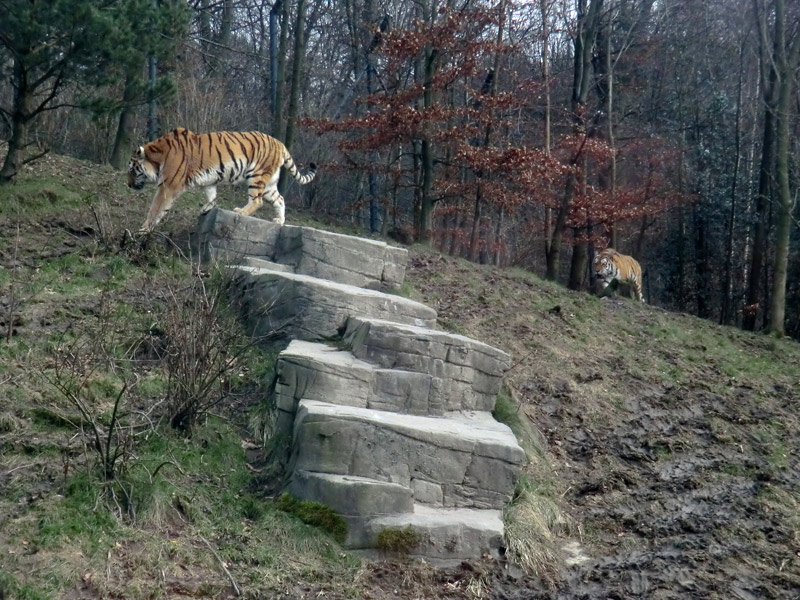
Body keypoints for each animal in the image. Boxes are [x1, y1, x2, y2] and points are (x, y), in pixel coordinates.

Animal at [128, 127, 316, 233]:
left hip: (257, 175)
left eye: (132, 170)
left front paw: (144, 229)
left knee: (258, 200)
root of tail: (280, 144)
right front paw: (206, 208)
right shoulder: (209, 180)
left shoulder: (168, 186)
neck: (159, 156)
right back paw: (279, 221)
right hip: (268, 184)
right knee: (280, 199)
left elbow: (156, 208)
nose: (128, 185)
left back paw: (241, 211)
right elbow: (211, 195)